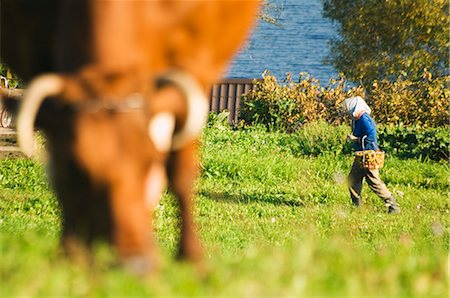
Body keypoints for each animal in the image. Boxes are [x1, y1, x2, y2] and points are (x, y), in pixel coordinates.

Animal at [0, 0, 260, 274]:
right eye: (77, 167)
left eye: (151, 161)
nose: (133, 263)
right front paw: (72, 257)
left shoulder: (194, 67)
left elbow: (180, 172)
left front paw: (191, 261)